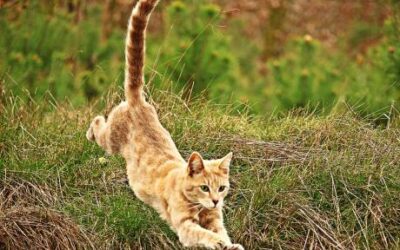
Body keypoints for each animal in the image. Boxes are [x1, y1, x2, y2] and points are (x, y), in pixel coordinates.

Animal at [86, 0, 244, 249]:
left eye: (222, 187)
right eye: (204, 187)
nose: (216, 201)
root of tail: (138, 100)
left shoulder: (215, 220)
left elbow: (221, 233)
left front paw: (229, 244)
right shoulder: (185, 227)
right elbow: (206, 235)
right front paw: (218, 242)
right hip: (110, 140)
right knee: (98, 121)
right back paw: (90, 131)